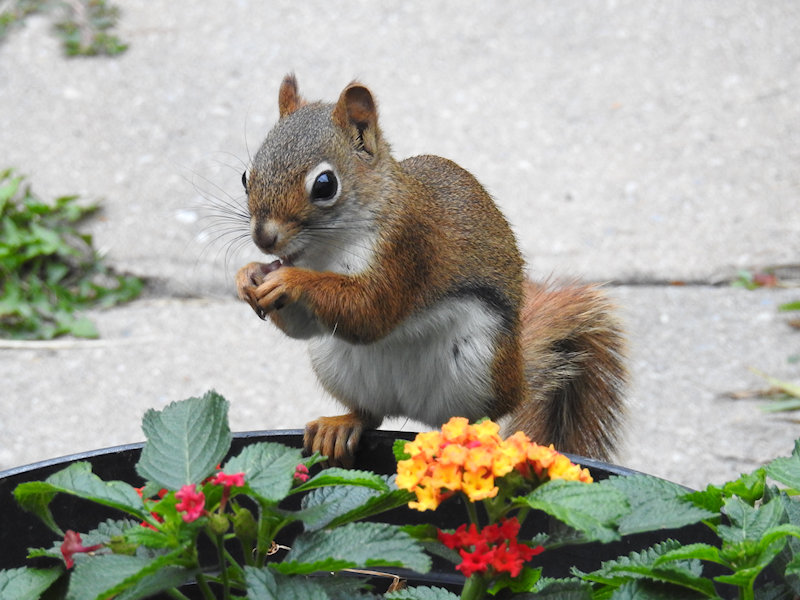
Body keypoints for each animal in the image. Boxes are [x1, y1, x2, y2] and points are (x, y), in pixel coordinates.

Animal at [234, 75, 628, 466]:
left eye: (325, 184)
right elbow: (304, 327)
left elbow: (370, 312)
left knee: (473, 421)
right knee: (370, 414)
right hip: (335, 363)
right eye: (245, 176)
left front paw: (289, 280)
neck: (325, 252)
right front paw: (248, 275)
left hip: (479, 368)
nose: (264, 238)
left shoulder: (408, 249)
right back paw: (341, 427)